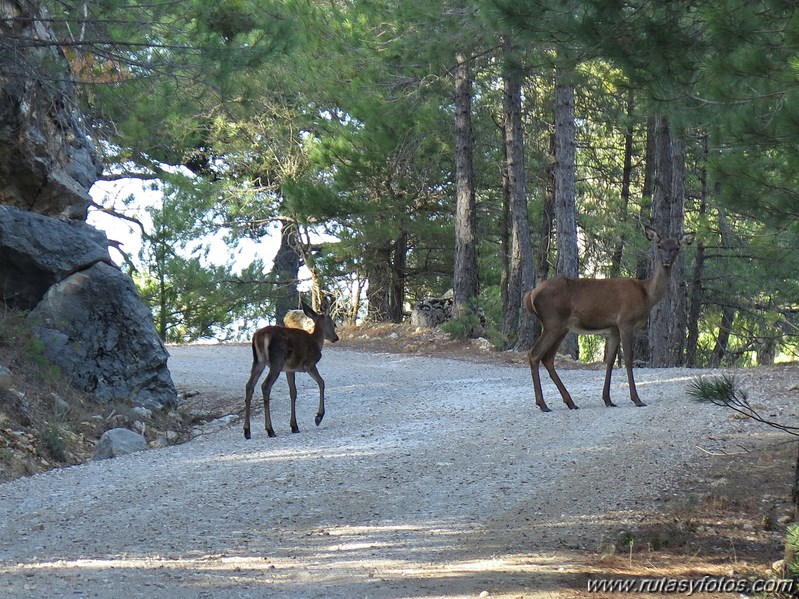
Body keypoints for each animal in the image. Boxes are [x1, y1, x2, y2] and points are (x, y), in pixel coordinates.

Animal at [242, 300, 340, 440]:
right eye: (333, 324)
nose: (336, 338)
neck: (317, 340)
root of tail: (260, 336)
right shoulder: (308, 364)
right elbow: (321, 383)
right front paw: (318, 417)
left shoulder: (290, 369)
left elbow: (293, 392)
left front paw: (294, 426)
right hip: (276, 362)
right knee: (265, 386)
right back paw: (270, 429)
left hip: (258, 362)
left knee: (249, 385)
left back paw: (247, 431)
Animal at [524, 225, 692, 412]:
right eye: (660, 246)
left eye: (676, 247)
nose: (667, 261)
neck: (647, 294)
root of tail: (531, 295)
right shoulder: (626, 322)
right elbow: (628, 359)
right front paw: (636, 399)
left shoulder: (613, 328)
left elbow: (610, 361)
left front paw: (608, 399)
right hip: (552, 322)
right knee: (534, 354)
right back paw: (543, 403)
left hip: (561, 327)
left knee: (548, 358)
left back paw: (570, 402)